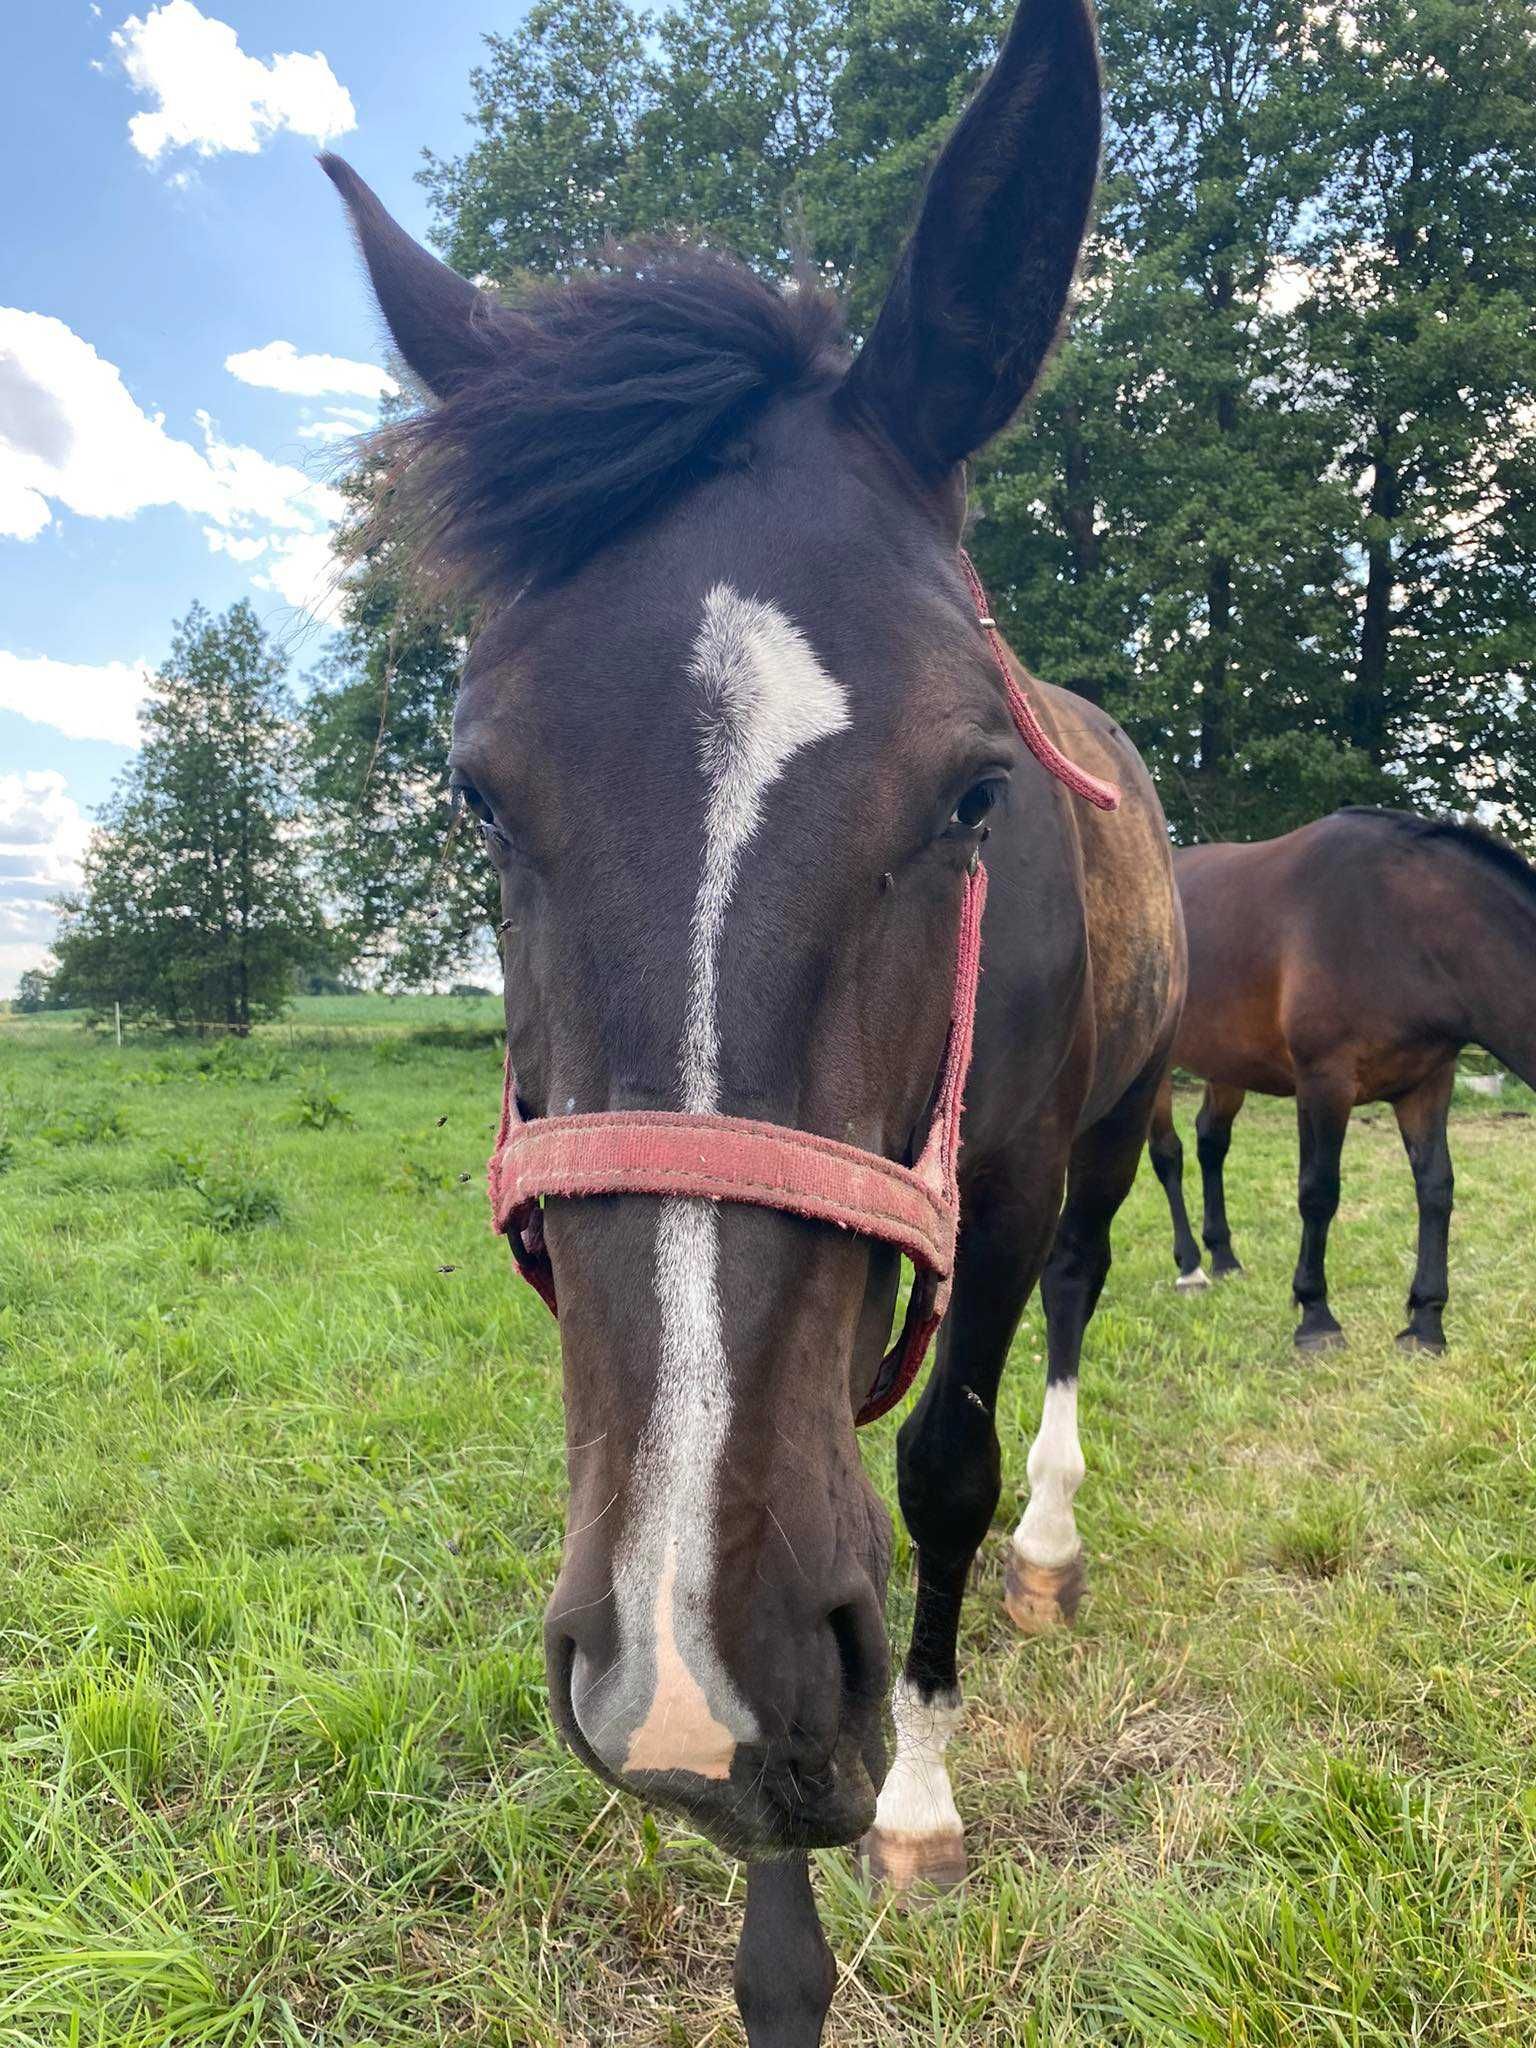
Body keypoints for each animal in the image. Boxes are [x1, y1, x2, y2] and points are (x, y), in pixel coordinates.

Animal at [325, 8, 1187, 2039]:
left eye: (973, 795)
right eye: (479, 793)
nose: (671, 1677)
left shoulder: (991, 1196)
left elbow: (933, 1471)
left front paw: (920, 1803)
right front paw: (776, 1925)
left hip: (1116, 1134)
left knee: (1077, 1302)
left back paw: (1049, 1547)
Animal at [1146, 806, 1536, 1351]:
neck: (1405, 926)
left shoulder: (1428, 1083)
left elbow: (1436, 1188)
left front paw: (1425, 1322)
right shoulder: (1324, 1082)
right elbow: (1318, 1191)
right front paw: (1315, 1316)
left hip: (1228, 1064)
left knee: (1210, 1142)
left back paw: (1223, 1257)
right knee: (1168, 1154)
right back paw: (1190, 1268)